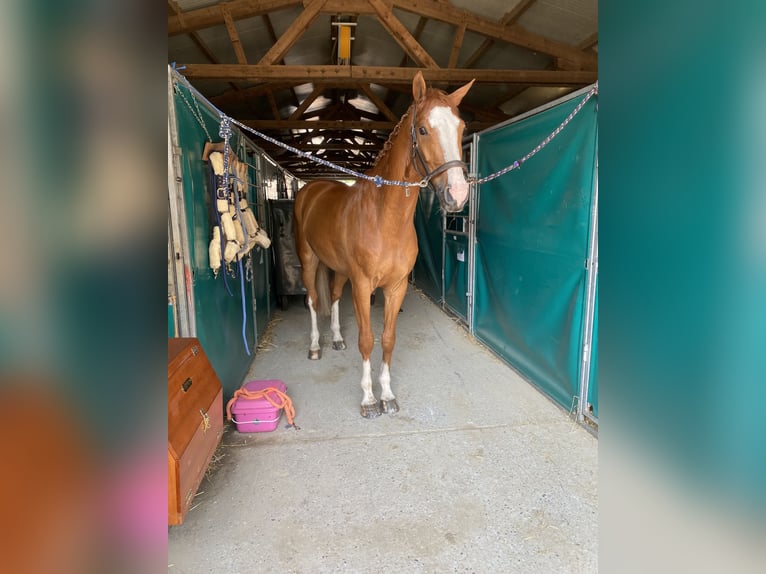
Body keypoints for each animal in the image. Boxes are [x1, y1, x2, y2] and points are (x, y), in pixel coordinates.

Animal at [294, 74, 474, 420]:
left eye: (461, 128)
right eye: (423, 130)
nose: (457, 195)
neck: (384, 218)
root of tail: (312, 189)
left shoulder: (396, 287)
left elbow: (388, 340)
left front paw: (387, 395)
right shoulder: (363, 286)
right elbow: (367, 340)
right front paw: (368, 399)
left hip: (339, 270)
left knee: (333, 296)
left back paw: (337, 339)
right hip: (309, 260)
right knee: (312, 300)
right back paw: (314, 347)